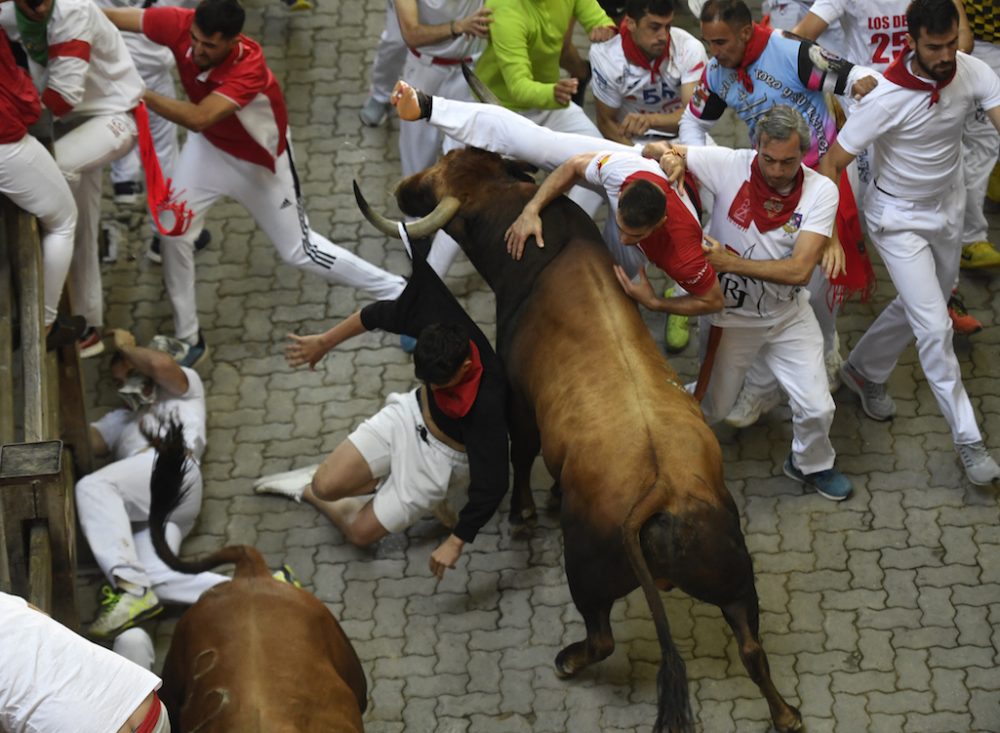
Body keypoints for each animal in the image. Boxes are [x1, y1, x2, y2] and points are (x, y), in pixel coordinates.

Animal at [358, 147, 804, 732]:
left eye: (436, 182)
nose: (403, 188)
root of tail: (665, 490)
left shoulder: (520, 404)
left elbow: (522, 456)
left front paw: (525, 512)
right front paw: (549, 497)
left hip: (588, 572)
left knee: (602, 638)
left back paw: (566, 659)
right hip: (733, 575)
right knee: (752, 646)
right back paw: (786, 712)